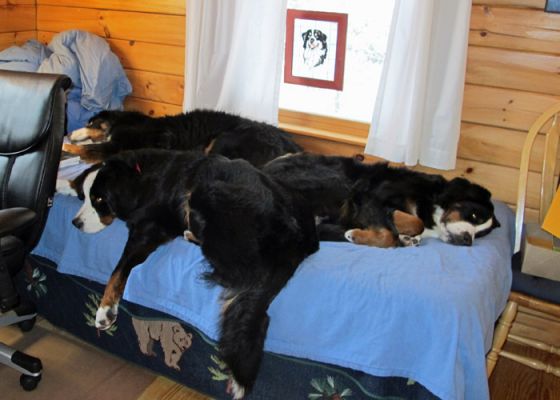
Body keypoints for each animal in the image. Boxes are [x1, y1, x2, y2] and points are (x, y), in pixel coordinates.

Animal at [264, 152, 500, 247]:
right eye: (474, 214)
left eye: (482, 234)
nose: (468, 241)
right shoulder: (369, 196)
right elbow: (402, 228)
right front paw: (356, 235)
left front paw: (405, 233)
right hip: (339, 183)